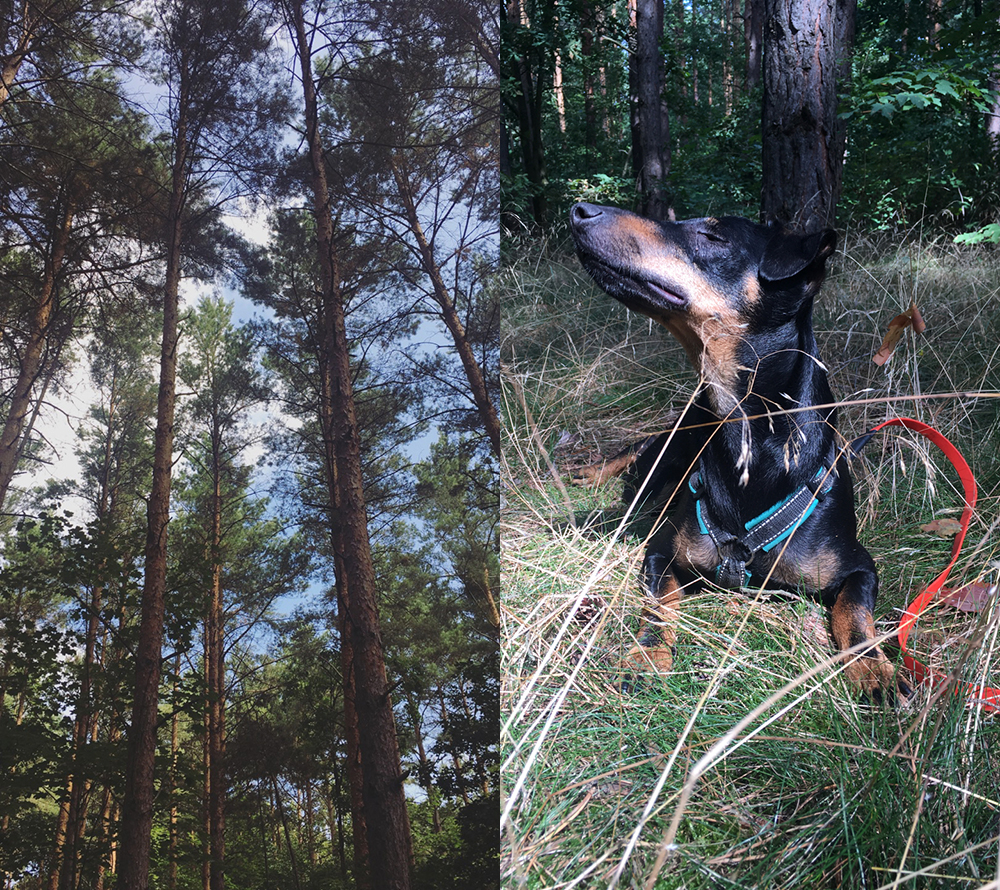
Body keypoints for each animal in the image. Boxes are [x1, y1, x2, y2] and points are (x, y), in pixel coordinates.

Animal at [572, 203, 908, 700]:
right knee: (638, 460)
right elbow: (658, 607)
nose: (580, 210)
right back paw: (590, 472)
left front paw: (874, 668)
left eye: (713, 237)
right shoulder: (661, 553)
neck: (748, 435)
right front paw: (646, 654)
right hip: (671, 447)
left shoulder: (859, 567)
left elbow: (854, 613)